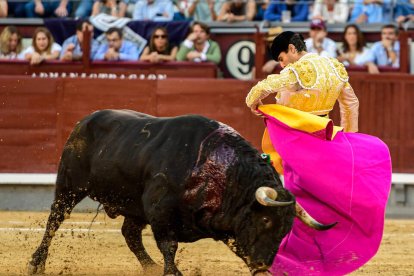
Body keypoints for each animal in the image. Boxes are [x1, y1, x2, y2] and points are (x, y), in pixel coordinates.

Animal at [28, 110, 334, 276]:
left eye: (286, 229)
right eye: (266, 220)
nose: (262, 266)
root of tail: (84, 121)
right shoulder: (160, 211)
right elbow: (169, 246)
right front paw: (173, 271)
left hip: (133, 206)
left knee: (130, 234)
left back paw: (149, 267)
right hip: (69, 186)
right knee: (54, 221)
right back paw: (36, 263)